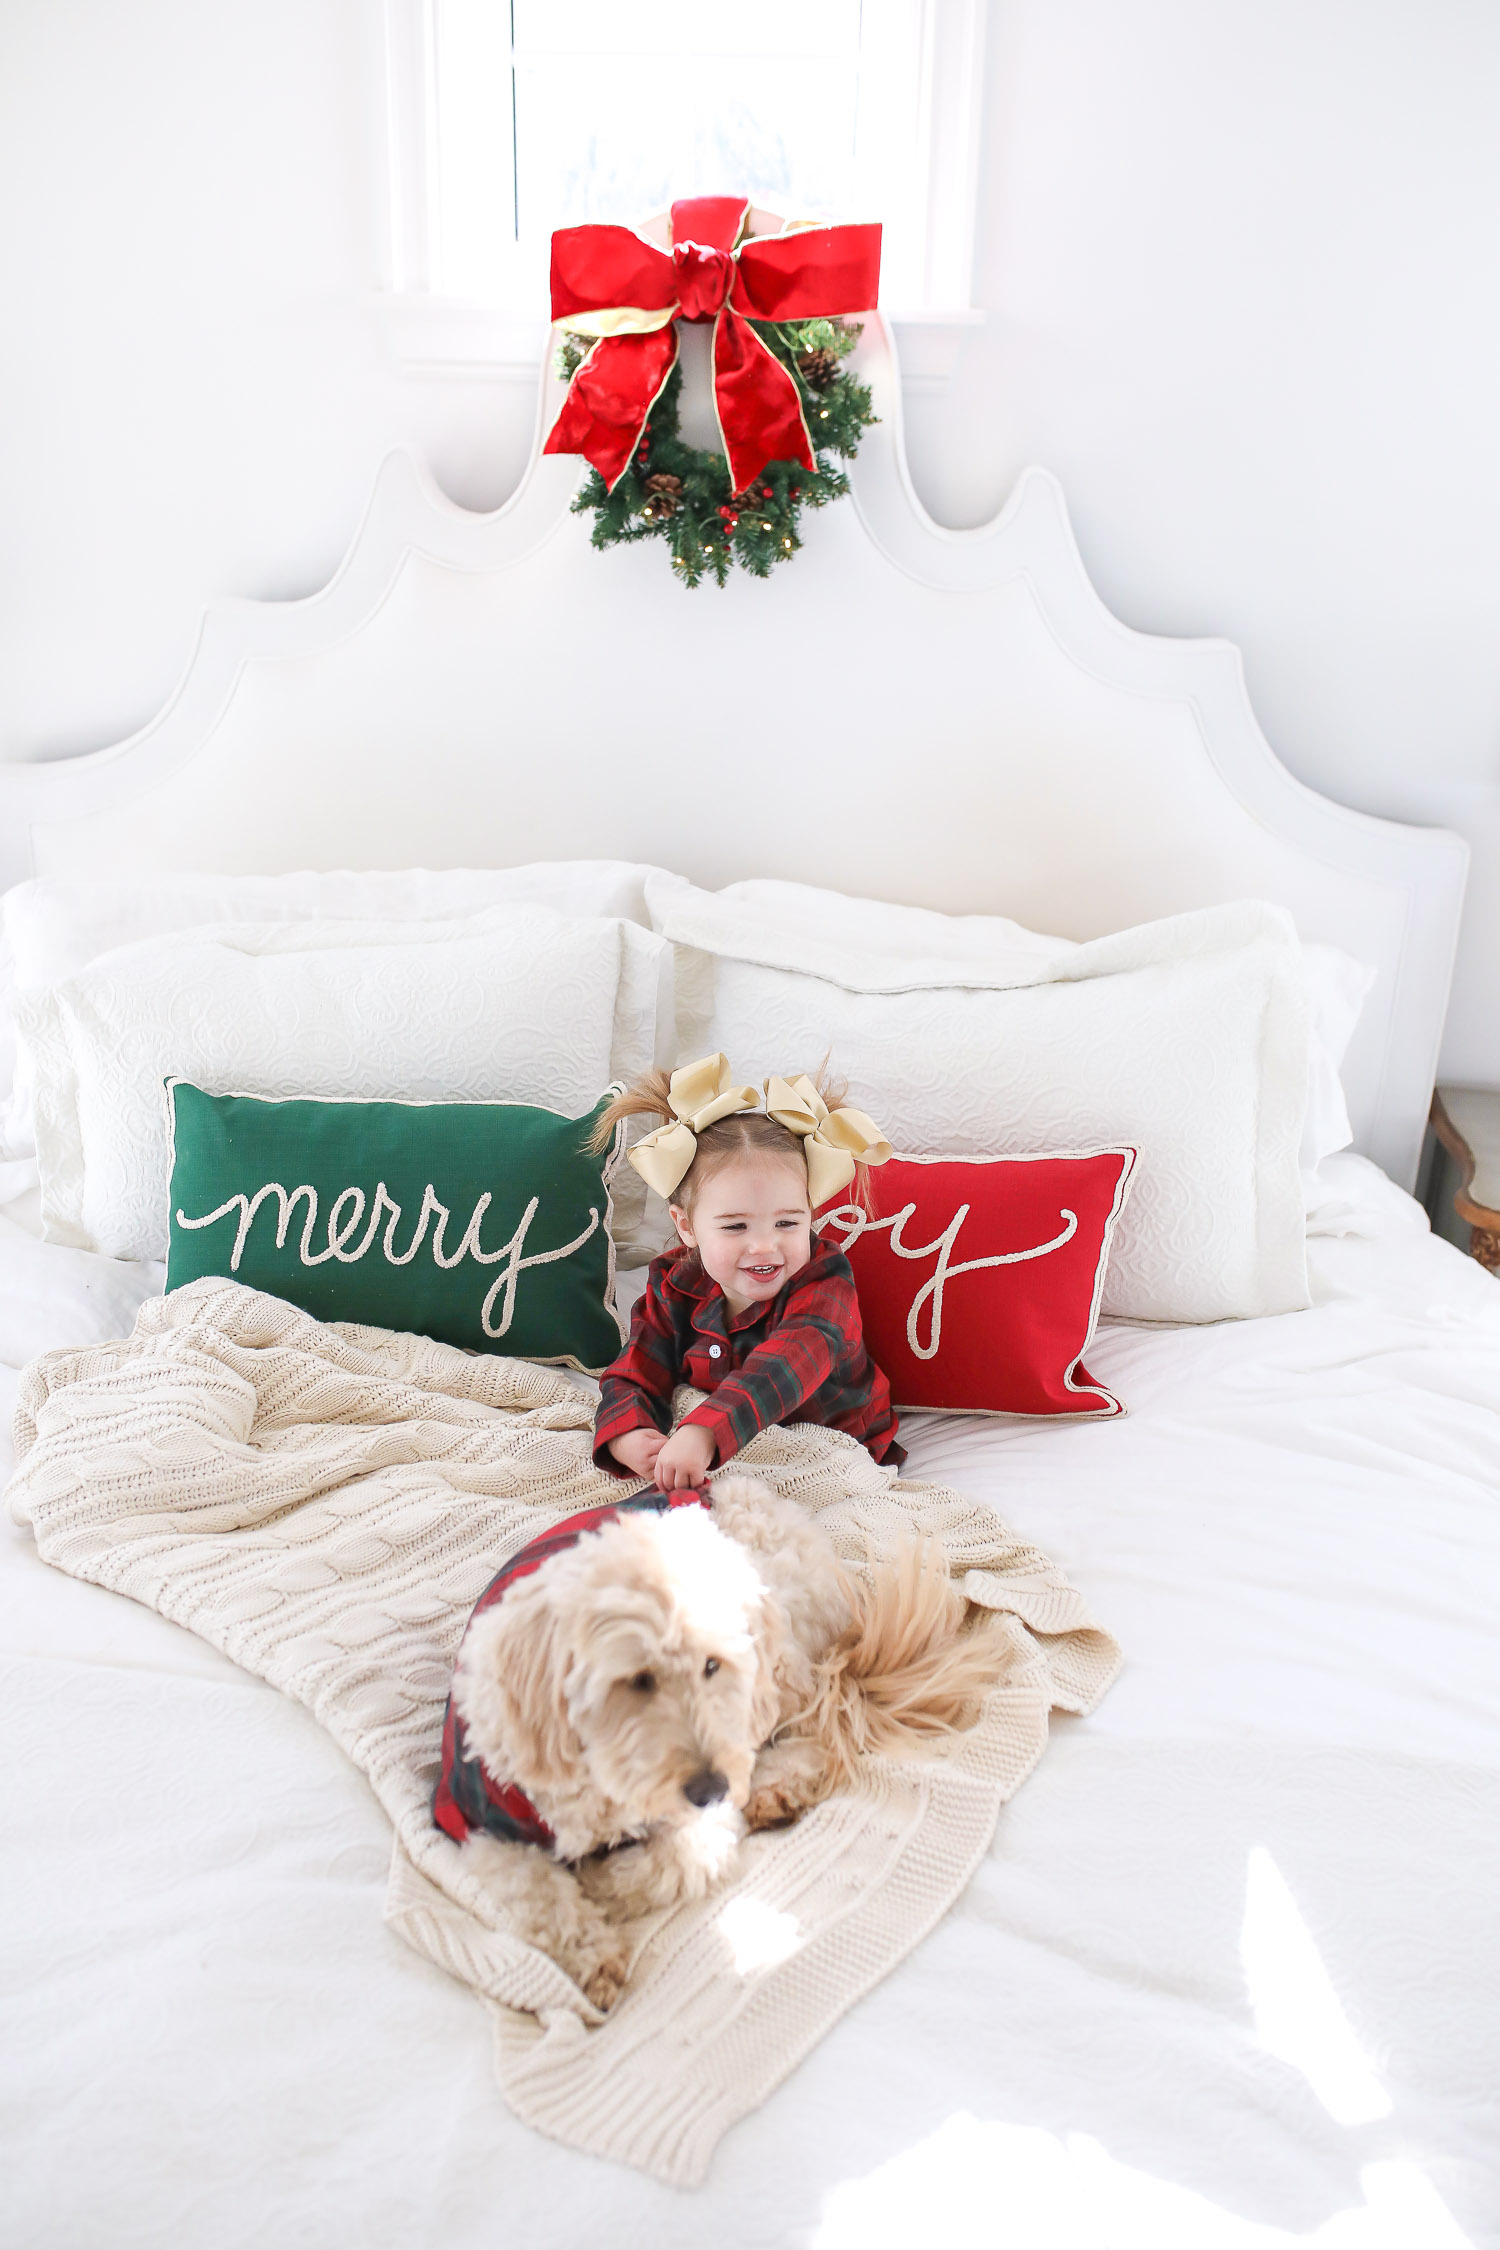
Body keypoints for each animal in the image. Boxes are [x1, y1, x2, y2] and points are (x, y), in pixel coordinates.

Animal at [443, 1476, 1007, 2007]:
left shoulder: (704, 1818)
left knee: (815, 1725)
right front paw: (591, 1954)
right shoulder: (482, 1826)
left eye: (712, 1666)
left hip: (776, 1656)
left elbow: (664, 1867)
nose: (712, 1789)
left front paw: (598, 1879)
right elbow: (538, 1894)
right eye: (637, 1680)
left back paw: (776, 1787)